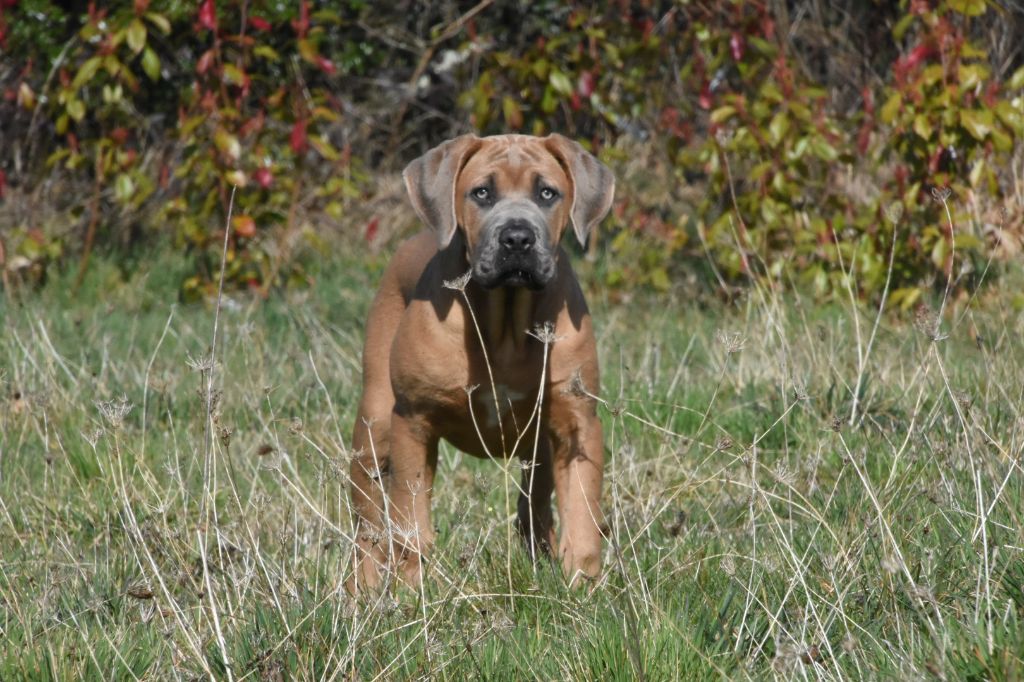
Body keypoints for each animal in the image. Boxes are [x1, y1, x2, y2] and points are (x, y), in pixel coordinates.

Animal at [348, 133, 610, 589]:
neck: (504, 320)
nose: (518, 238)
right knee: (367, 526)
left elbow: (581, 515)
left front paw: (582, 585)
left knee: (533, 508)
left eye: (547, 193)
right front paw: (412, 589)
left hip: (539, 447)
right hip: (374, 427)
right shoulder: (412, 422)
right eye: (482, 193)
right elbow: (410, 521)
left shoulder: (577, 423)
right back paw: (362, 590)